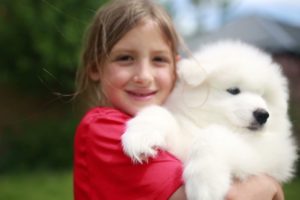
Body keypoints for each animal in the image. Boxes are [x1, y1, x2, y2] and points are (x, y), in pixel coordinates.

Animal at [120, 40, 296, 200]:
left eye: (263, 96)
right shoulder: (181, 141)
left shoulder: (266, 155)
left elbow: (212, 136)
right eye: (234, 90)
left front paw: (204, 184)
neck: (204, 123)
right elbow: (158, 112)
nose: (263, 114)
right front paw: (140, 137)